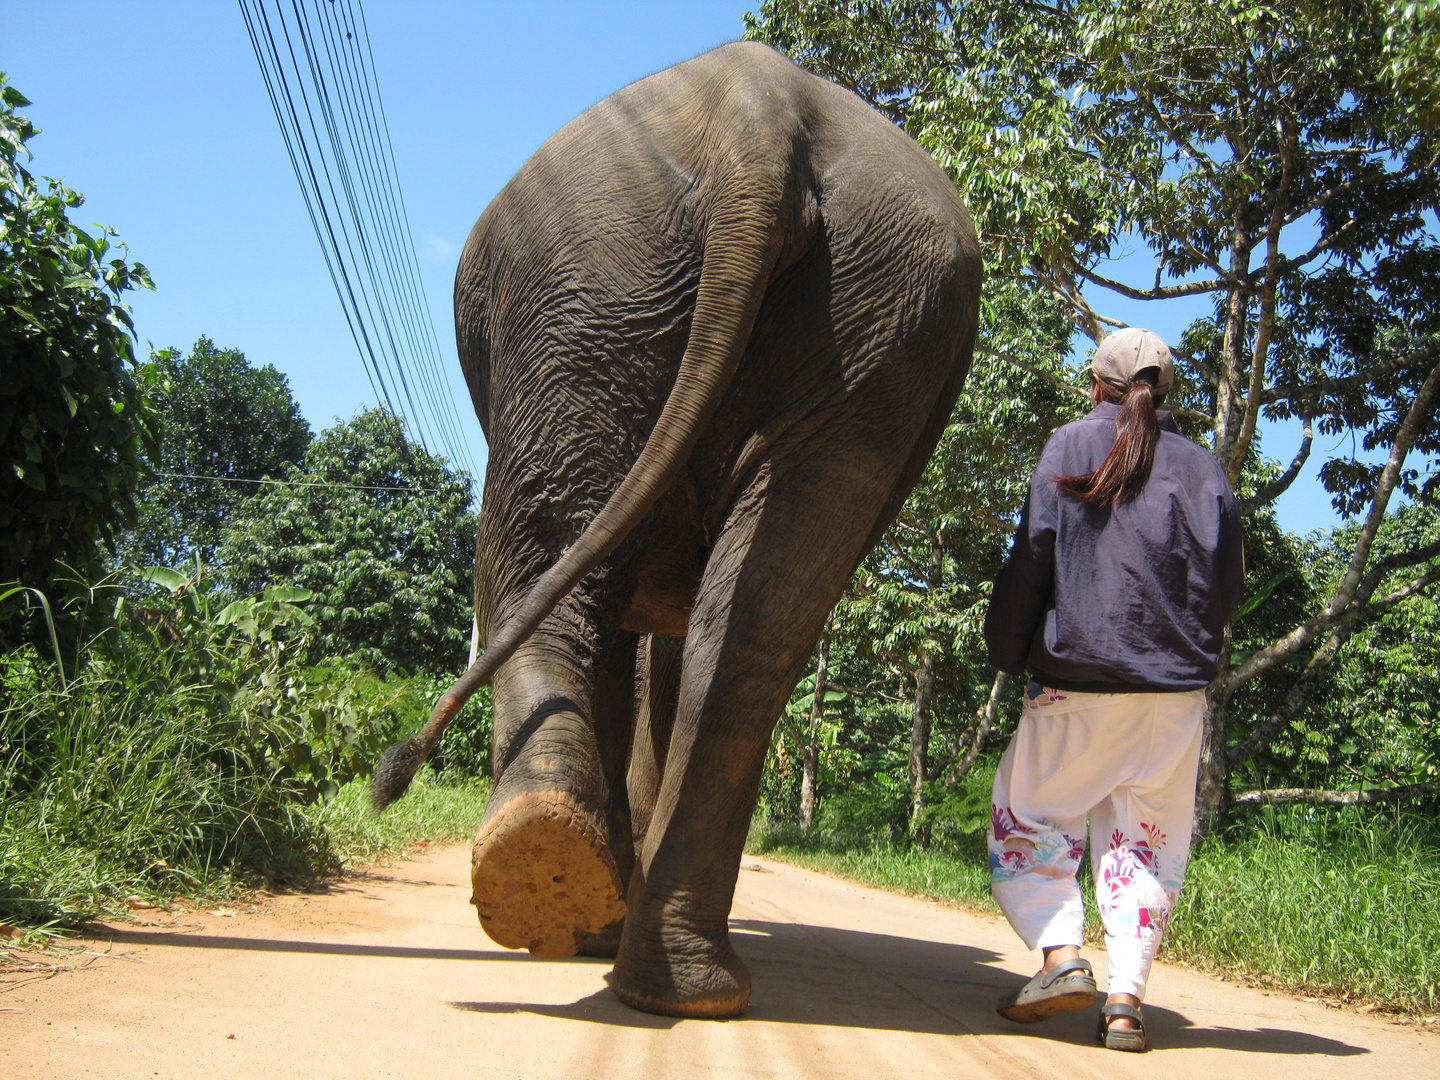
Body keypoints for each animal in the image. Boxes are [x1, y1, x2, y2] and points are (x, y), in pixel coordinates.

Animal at [368, 40, 979, 1025]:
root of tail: (760, 112)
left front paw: (590, 928)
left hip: (588, 286)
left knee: (533, 560)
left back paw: (553, 880)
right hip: (863, 307)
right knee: (750, 637)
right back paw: (668, 974)